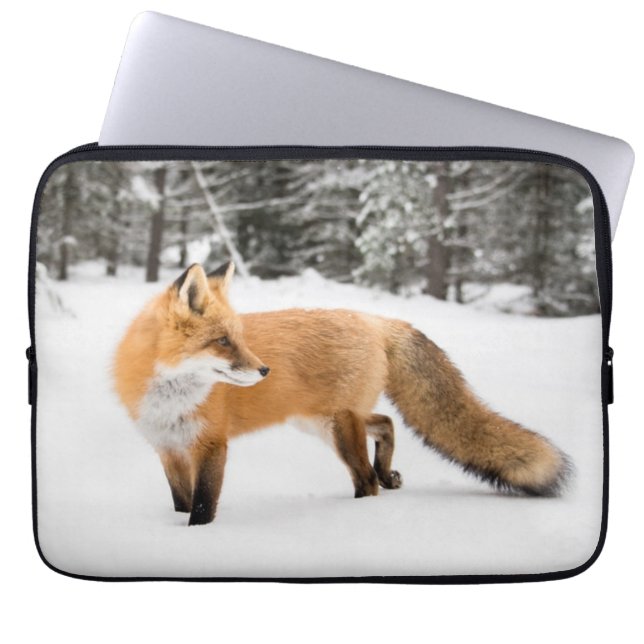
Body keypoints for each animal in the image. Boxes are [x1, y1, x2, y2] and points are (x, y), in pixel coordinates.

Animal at [113, 261, 570, 526]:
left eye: (238, 339)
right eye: (223, 341)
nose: (264, 370)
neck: (170, 398)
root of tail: (376, 320)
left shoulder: (211, 445)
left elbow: (202, 508)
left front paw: (198, 538)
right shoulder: (168, 448)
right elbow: (181, 503)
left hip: (337, 426)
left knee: (366, 476)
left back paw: (359, 509)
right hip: (321, 421)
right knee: (385, 423)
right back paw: (388, 474)